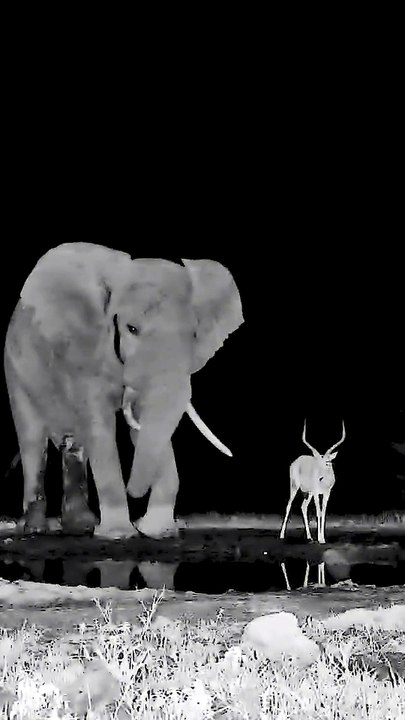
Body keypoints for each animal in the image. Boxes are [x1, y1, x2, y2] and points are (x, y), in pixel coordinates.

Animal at [4, 243, 243, 539]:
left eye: (194, 335)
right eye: (131, 329)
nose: (139, 519)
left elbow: (141, 427)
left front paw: (158, 532)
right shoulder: (87, 352)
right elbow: (101, 427)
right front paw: (118, 534)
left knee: (74, 444)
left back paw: (81, 525)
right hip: (15, 367)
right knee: (33, 440)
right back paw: (36, 530)